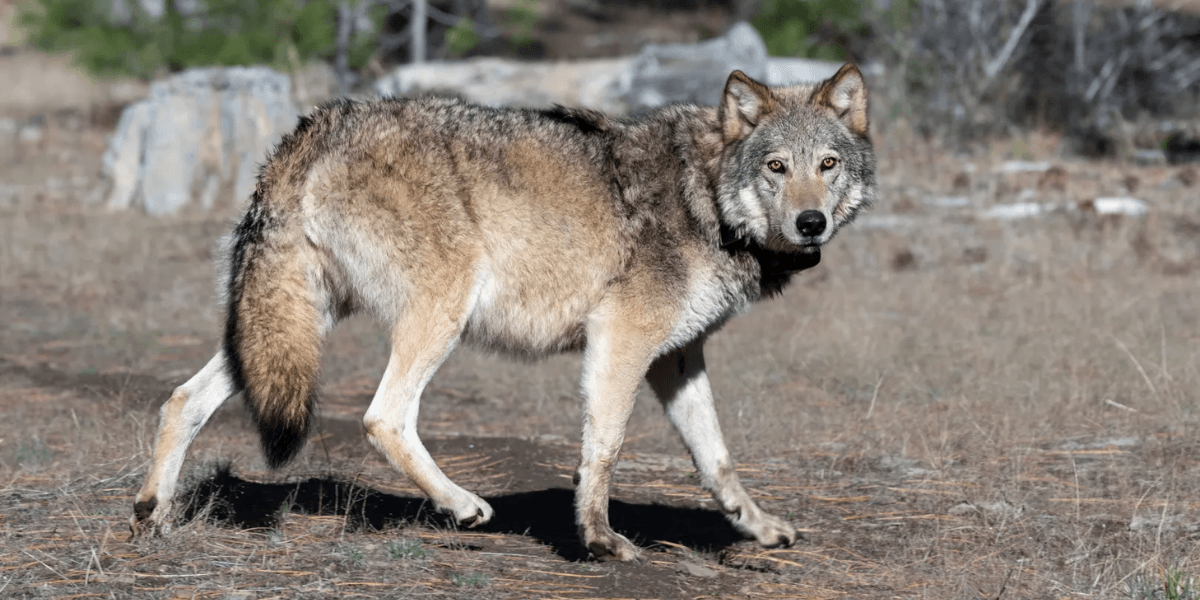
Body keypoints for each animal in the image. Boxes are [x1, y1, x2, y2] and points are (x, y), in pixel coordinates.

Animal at [129, 64, 876, 561]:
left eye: (827, 164)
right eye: (776, 167)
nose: (810, 223)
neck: (709, 201)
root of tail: (316, 125)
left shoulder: (675, 358)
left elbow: (716, 458)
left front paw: (759, 528)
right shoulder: (621, 340)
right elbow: (604, 447)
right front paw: (600, 539)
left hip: (286, 327)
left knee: (182, 399)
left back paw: (151, 515)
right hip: (438, 314)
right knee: (382, 417)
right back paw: (462, 506)